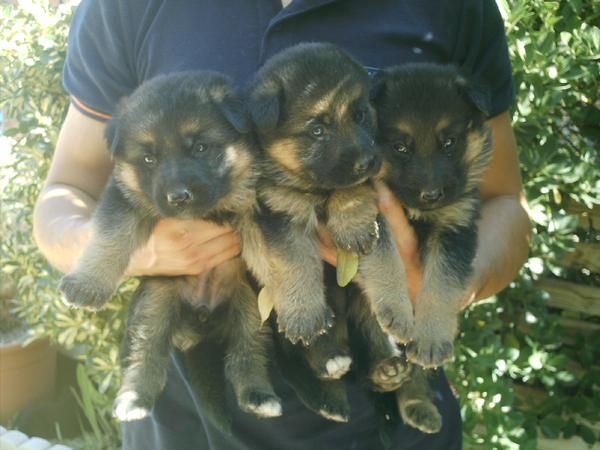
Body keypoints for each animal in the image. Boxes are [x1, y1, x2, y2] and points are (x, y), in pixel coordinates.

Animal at [59, 72, 282, 424]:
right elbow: (111, 237)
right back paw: (135, 398)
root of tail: (200, 323)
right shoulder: (124, 199)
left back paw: (258, 394)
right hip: (156, 303)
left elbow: (269, 246)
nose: (178, 197)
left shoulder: (254, 202)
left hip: (249, 306)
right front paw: (86, 284)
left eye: (201, 148)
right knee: (146, 353)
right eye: (149, 159)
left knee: (248, 352)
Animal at [241, 43, 414, 348]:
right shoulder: (281, 213)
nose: (367, 162)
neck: (316, 189)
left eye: (360, 115)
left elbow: (387, 258)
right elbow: (294, 261)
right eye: (317, 130)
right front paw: (303, 314)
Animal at [370, 63, 492, 368]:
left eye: (449, 142)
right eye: (400, 147)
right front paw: (396, 307)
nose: (432, 195)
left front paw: (431, 339)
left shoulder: (455, 227)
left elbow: (442, 283)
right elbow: (385, 258)